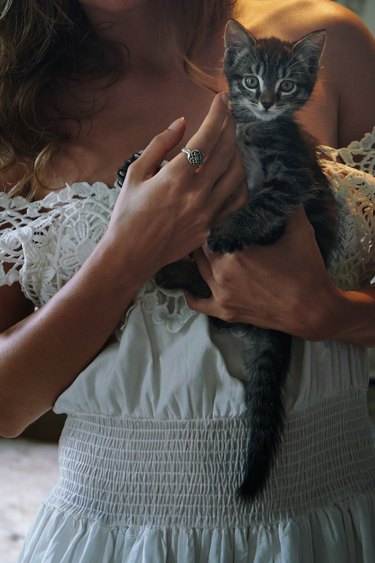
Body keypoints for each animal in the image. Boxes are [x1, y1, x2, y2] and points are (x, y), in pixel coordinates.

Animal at [155, 19, 338, 500]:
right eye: (252, 81)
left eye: (287, 84)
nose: (267, 101)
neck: (255, 128)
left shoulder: (292, 179)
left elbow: (262, 204)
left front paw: (227, 231)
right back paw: (173, 268)